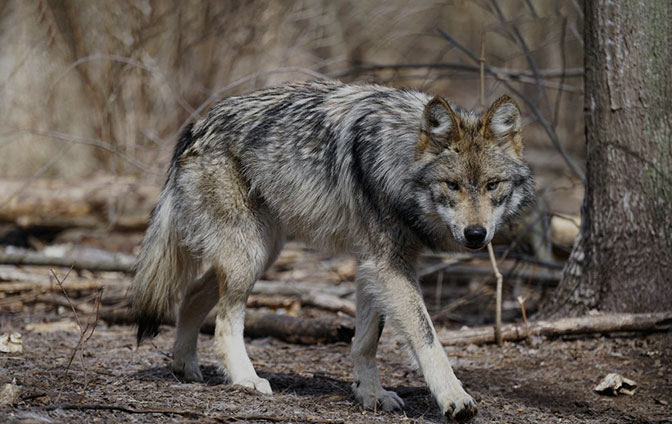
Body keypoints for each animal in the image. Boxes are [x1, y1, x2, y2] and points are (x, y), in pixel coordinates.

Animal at [130, 79, 534, 422]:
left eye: (492, 185)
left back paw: (185, 367)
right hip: (249, 255)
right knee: (225, 322)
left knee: (191, 296)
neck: (398, 157)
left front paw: (370, 395)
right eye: (452, 185)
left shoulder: (376, 264)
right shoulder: (388, 265)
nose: (476, 234)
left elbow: (366, 341)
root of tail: (196, 125)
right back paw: (246, 380)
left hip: (262, 252)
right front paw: (454, 398)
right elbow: (427, 337)